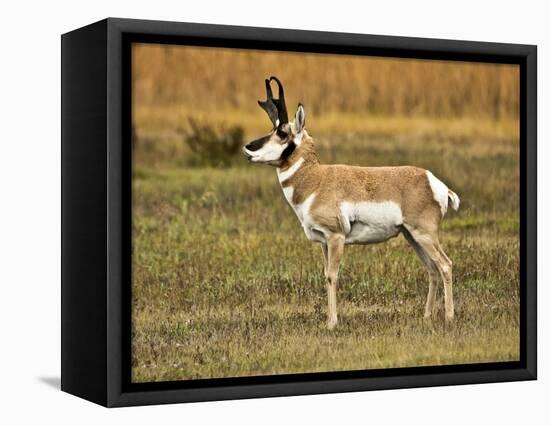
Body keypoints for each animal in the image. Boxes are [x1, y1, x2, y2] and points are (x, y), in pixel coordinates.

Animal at [246, 76, 462, 330]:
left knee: (445, 265)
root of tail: (434, 182)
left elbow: (332, 276)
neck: (317, 179)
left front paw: (332, 323)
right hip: (412, 236)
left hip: (424, 234)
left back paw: (449, 317)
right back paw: (426, 317)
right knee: (432, 269)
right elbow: (325, 275)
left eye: (281, 133)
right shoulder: (323, 242)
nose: (248, 148)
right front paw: (328, 320)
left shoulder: (336, 237)